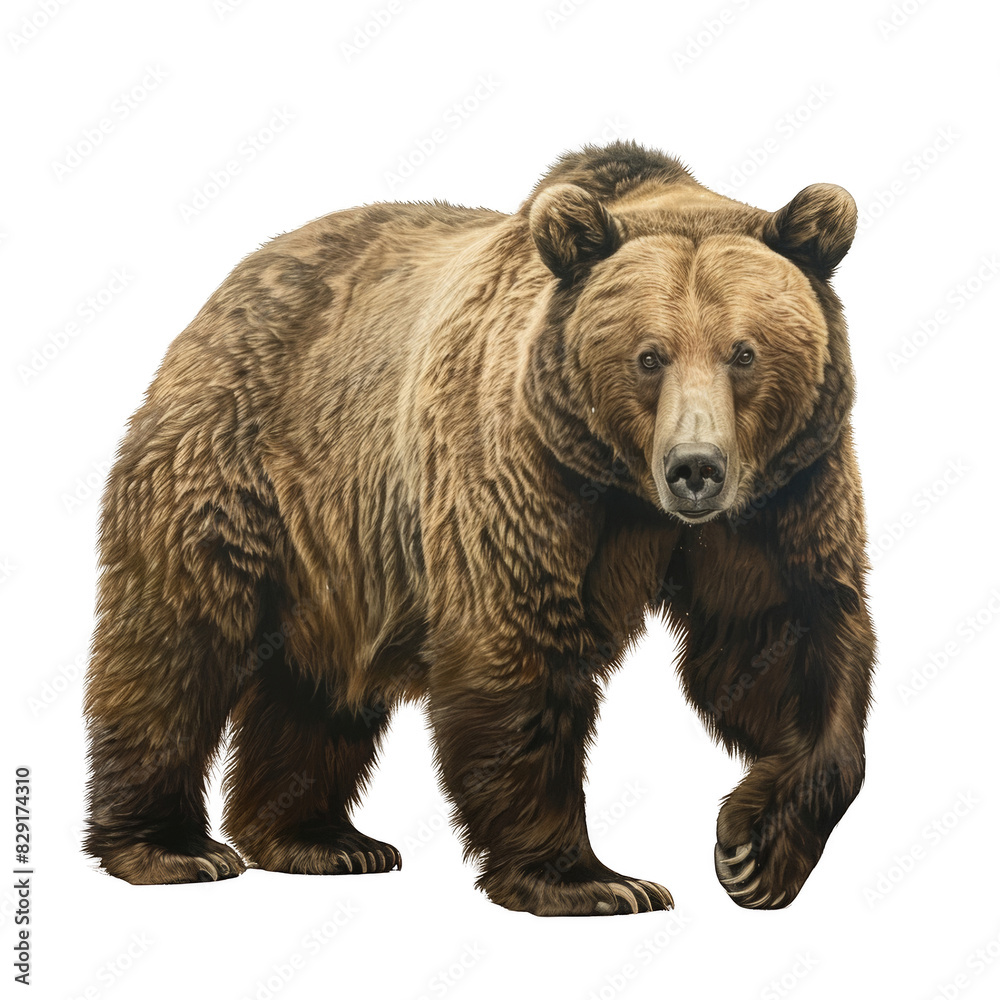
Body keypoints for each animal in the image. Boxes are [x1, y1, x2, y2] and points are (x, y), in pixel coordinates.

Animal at [83, 140, 875, 916]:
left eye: (744, 352)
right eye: (648, 356)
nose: (696, 469)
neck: (629, 489)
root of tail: (236, 279)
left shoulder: (783, 489)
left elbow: (782, 635)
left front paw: (755, 852)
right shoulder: (522, 466)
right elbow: (516, 644)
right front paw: (591, 881)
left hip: (338, 541)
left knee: (318, 681)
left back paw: (319, 839)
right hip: (239, 459)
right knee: (180, 639)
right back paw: (172, 848)